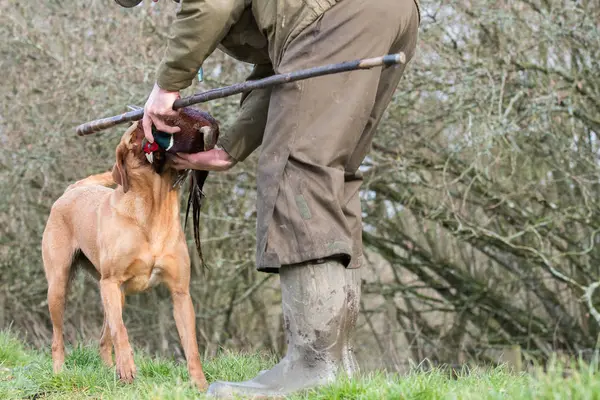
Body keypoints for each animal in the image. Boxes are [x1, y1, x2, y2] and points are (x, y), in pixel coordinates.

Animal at [42, 108, 220, 390]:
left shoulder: (180, 293)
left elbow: (191, 345)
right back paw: (61, 374)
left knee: (104, 339)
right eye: (133, 136)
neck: (154, 211)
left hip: (117, 295)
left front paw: (200, 385)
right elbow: (122, 332)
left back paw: (108, 370)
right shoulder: (110, 282)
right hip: (60, 287)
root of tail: (73, 189)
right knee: (60, 339)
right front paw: (127, 367)